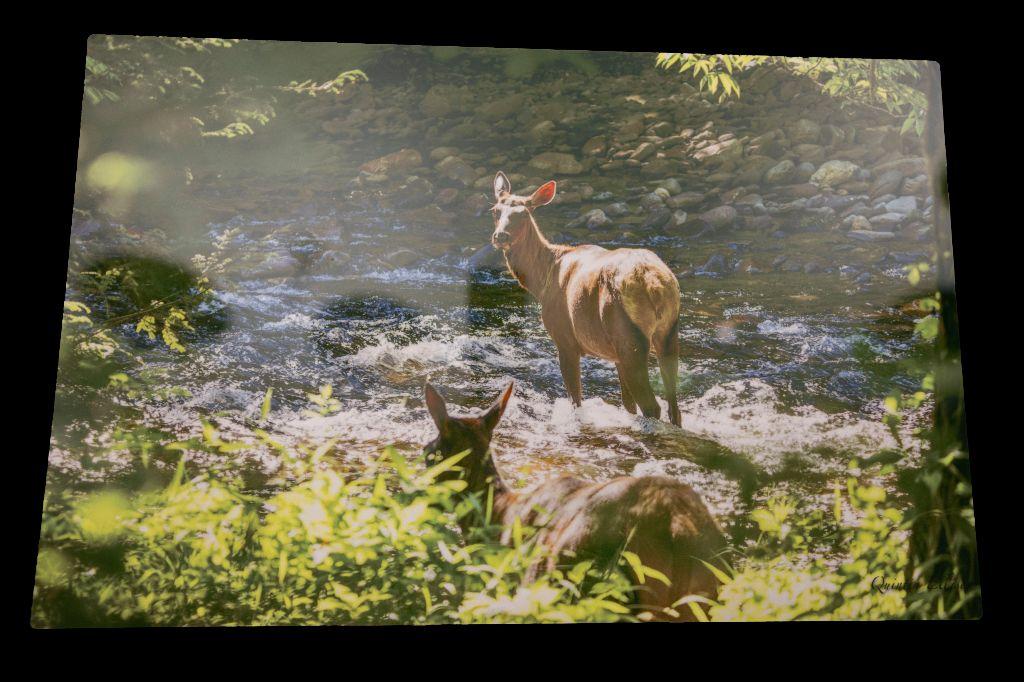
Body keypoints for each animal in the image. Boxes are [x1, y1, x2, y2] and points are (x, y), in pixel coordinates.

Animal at [490, 171, 683, 426]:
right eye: (495, 210)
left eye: (523, 213)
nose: (500, 236)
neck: (542, 281)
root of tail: (655, 284)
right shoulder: (614, 356)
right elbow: (627, 405)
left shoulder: (565, 339)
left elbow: (576, 400)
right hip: (668, 332)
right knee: (674, 407)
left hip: (628, 335)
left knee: (652, 406)